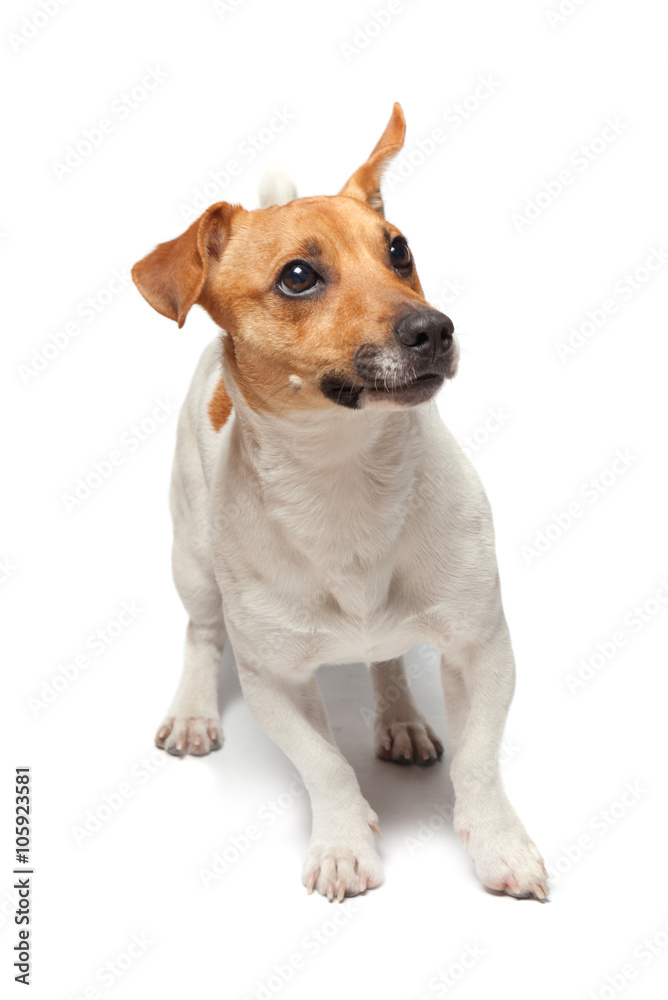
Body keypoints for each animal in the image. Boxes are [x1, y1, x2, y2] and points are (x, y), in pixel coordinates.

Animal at [132, 105, 548, 904]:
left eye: (399, 250)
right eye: (298, 276)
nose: (434, 328)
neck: (348, 477)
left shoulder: (482, 648)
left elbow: (479, 763)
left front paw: (500, 846)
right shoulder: (275, 681)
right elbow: (324, 765)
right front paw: (344, 846)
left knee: (386, 660)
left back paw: (401, 717)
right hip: (189, 557)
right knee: (201, 632)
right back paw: (194, 710)